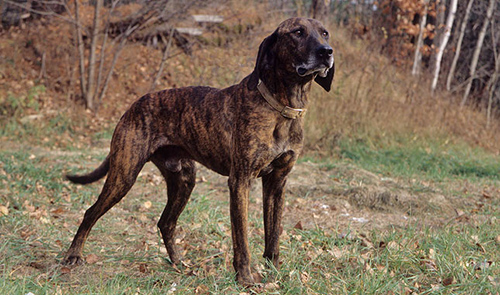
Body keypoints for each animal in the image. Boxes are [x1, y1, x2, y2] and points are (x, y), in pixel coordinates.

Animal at [64, 17, 334, 286]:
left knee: (166, 222)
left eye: (325, 33)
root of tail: (133, 106)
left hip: (183, 180)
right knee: (91, 212)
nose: (327, 52)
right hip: (124, 175)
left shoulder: (277, 183)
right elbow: (242, 239)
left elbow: (273, 235)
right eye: (297, 32)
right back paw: (73, 255)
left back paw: (178, 264)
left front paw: (275, 273)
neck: (281, 108)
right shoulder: (240, 181)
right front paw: (245, 279)